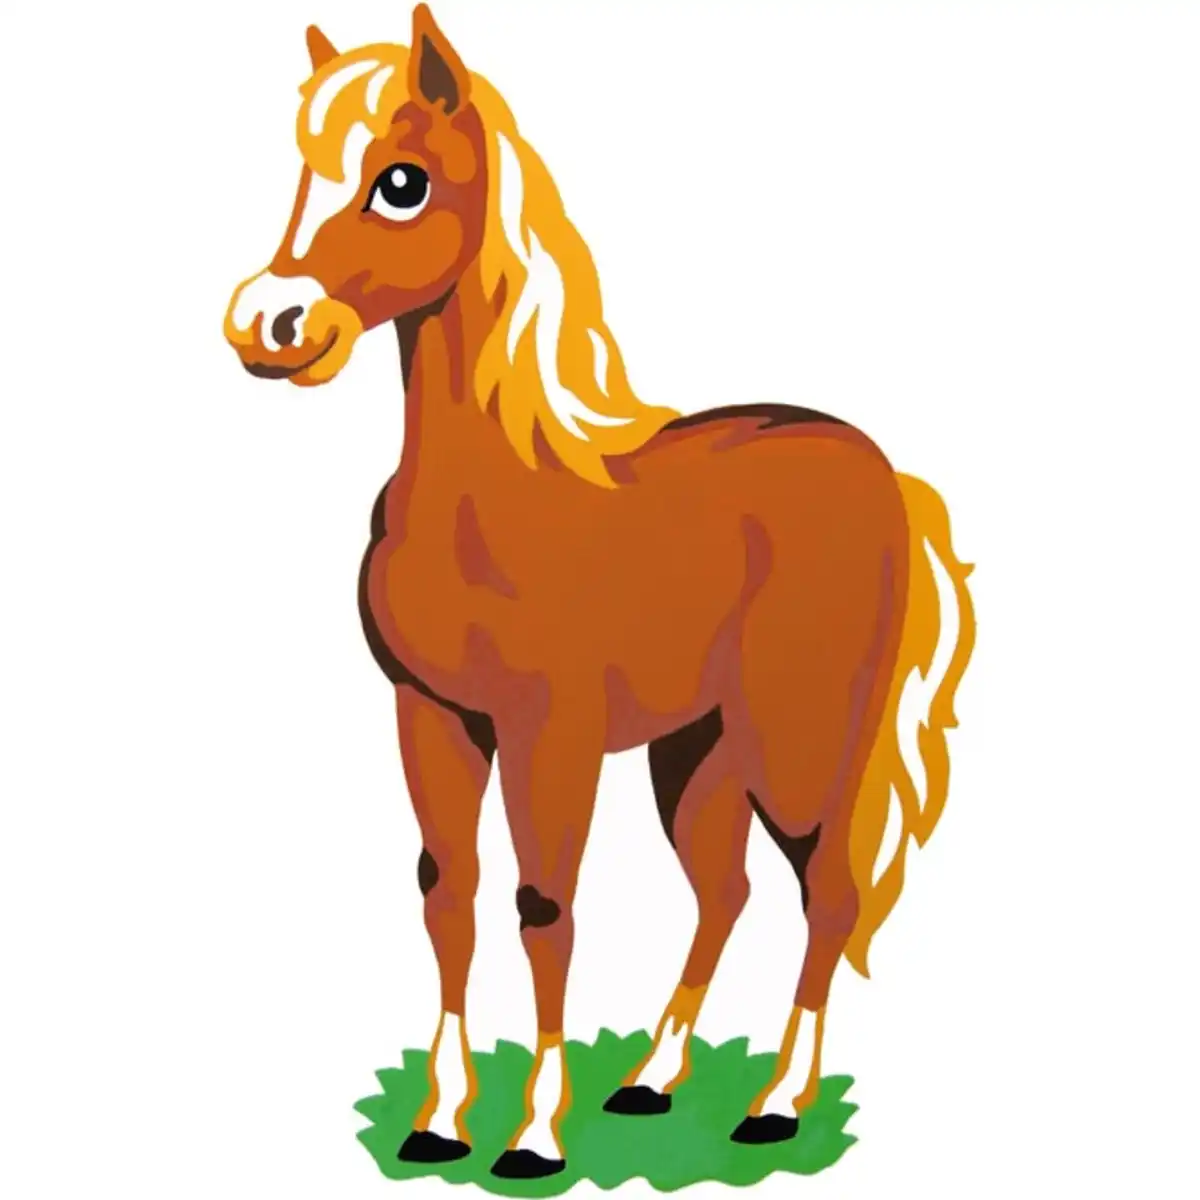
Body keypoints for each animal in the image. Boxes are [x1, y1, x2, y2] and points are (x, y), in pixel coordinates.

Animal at [223, 5, 976, 1180]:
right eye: (301, 170)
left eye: (401, 182)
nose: (270, 324)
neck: (493, 500)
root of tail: (881, 471)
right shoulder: (431, 717)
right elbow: (451, 894)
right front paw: (441, 1123)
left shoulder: (553, 735)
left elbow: (546, 905)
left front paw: (533, 1137)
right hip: (699, 749)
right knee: (726, 890)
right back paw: (651, 1081)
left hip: (801, 739)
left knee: (829, 894)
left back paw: (776, 1104)